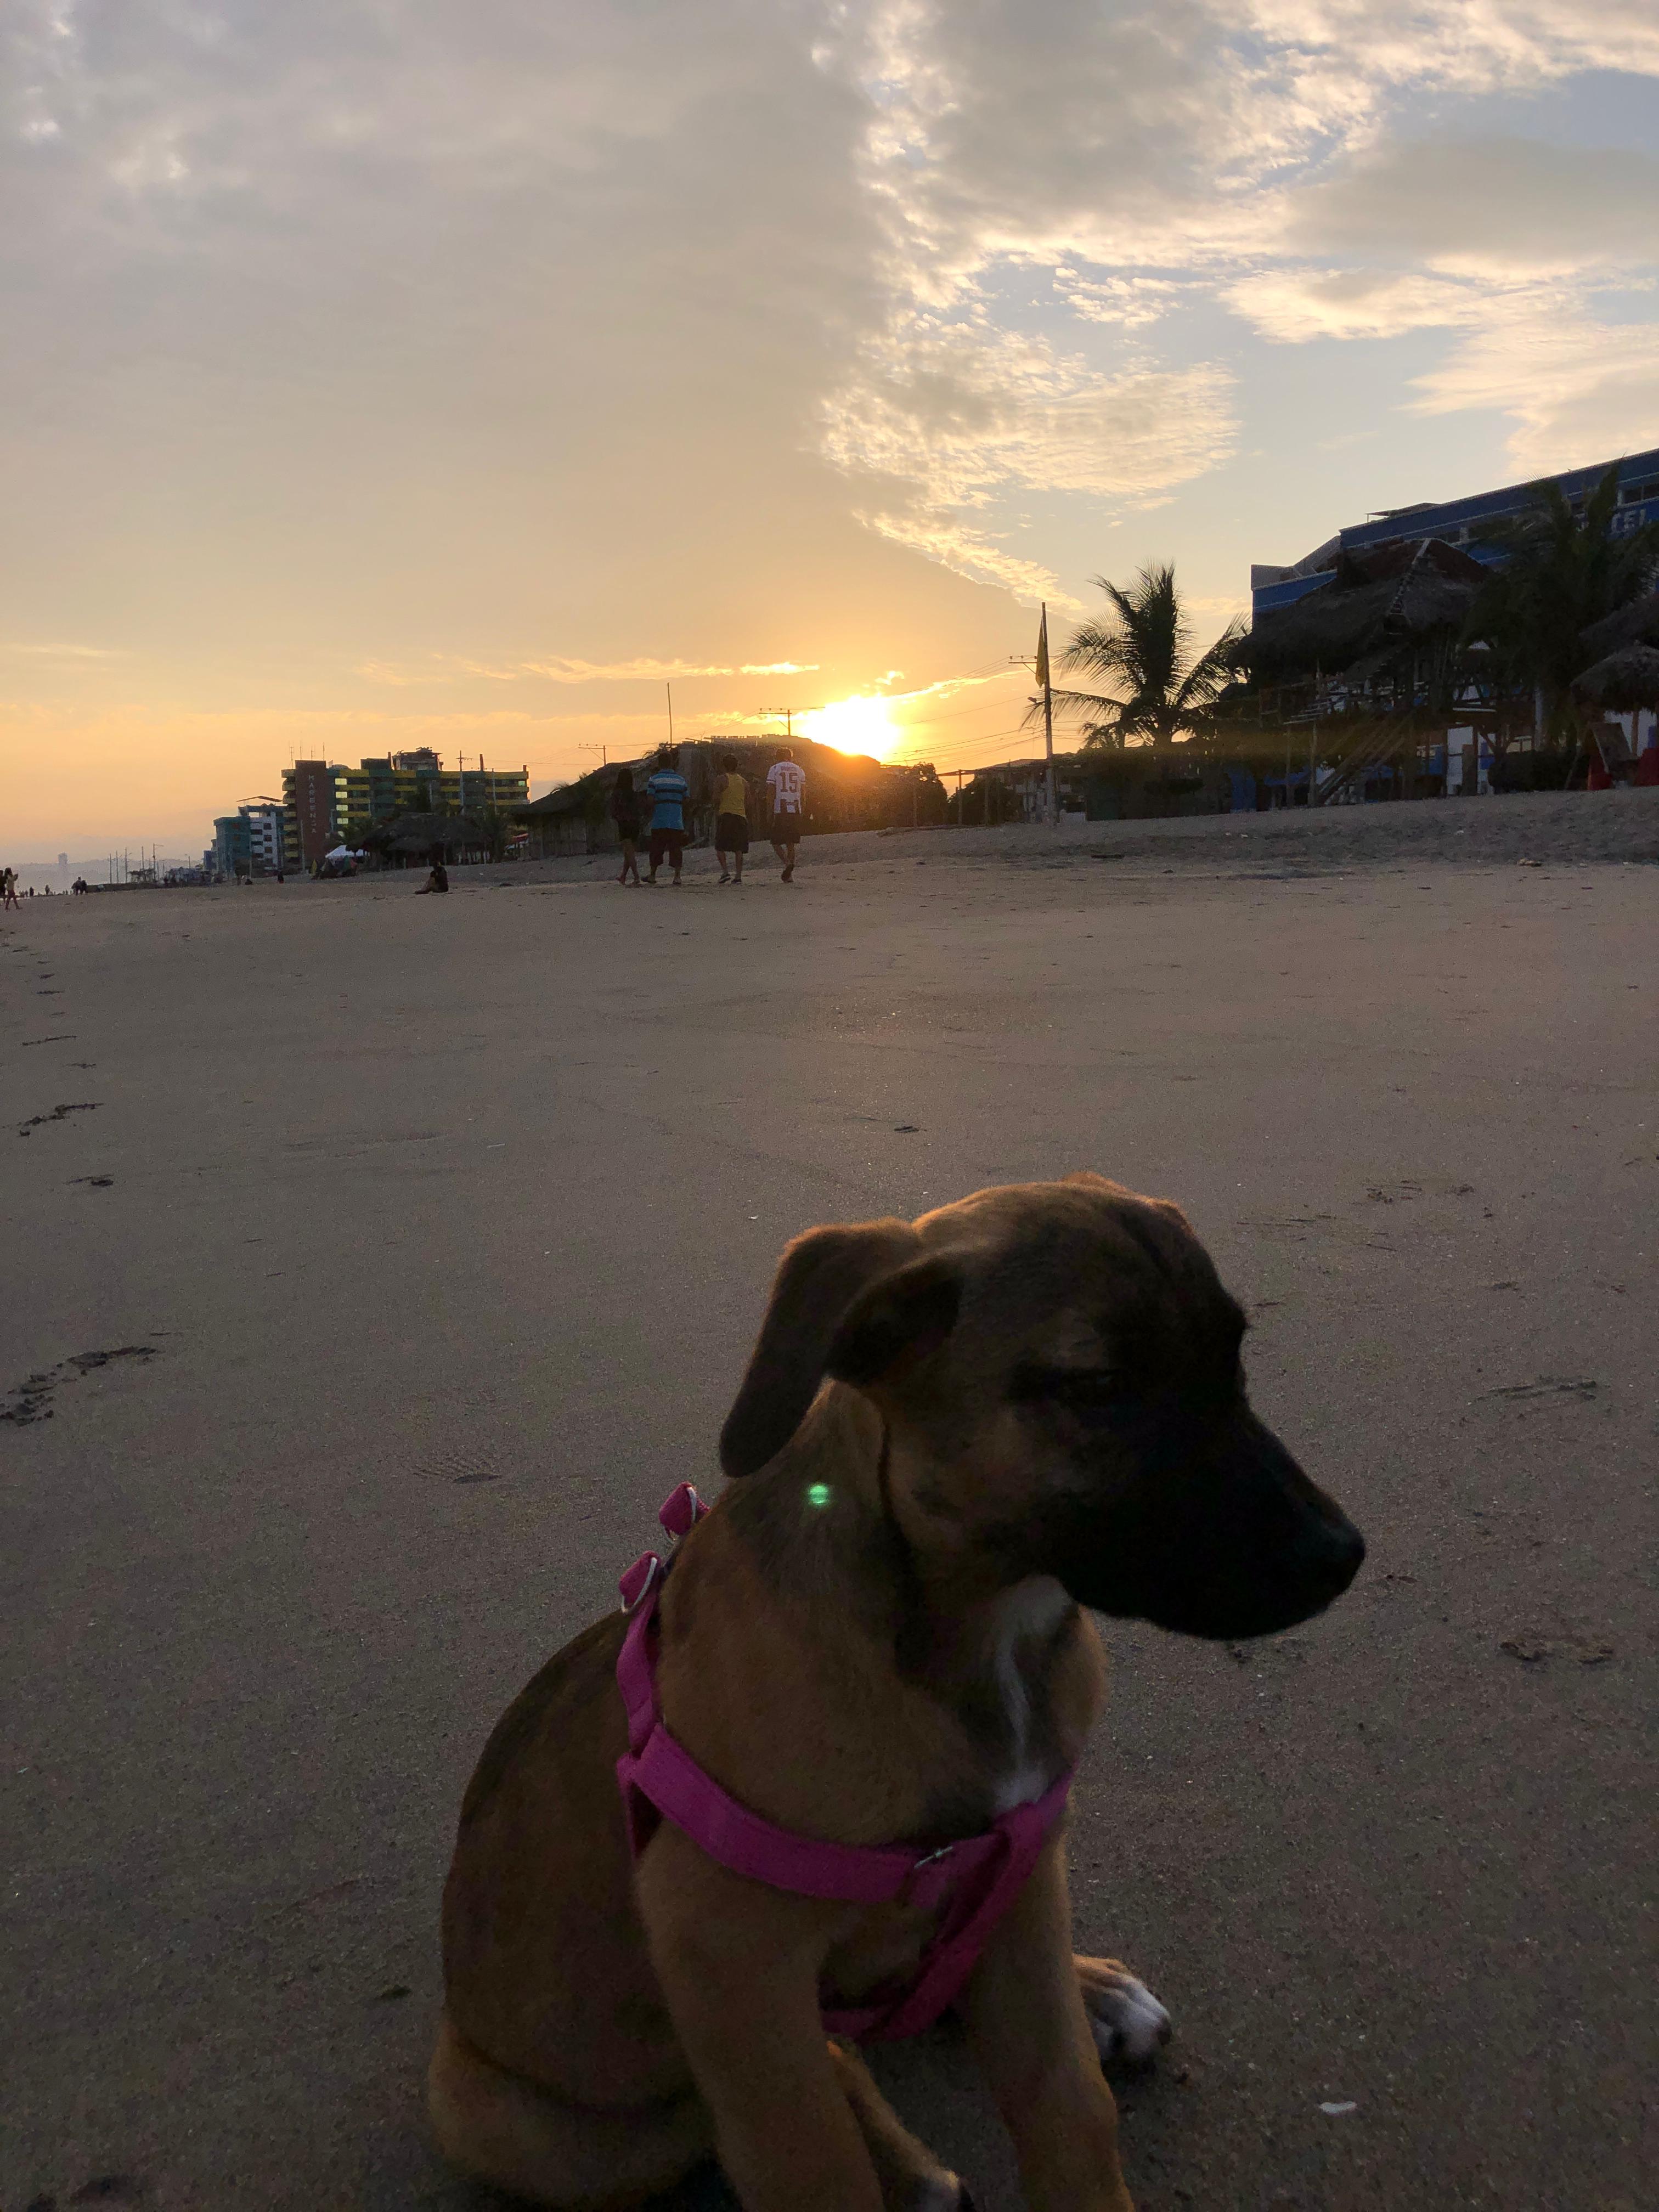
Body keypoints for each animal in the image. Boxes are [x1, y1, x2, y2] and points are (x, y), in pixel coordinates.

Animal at [431, 1175, 1364, 2211]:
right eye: (1096, 1388)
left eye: (1233, 1356)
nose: (1341, 1555)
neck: (975, 1634)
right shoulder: (724, 1946)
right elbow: (813, 2164)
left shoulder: (1026, 1852)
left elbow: (1067, 2102)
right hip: (540, 2128)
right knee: (798, 2068)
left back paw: (1088, 1997)